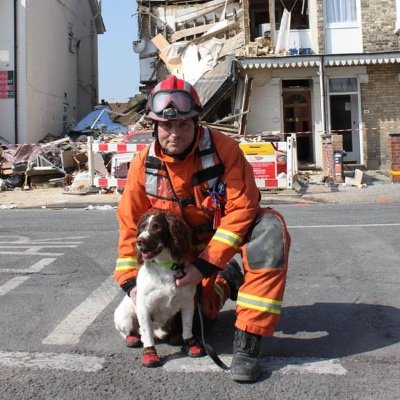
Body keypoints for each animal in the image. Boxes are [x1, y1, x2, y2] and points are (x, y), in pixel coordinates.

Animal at [114, 211, 205, 368]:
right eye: (142, 227)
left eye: (157, 227)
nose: (139, 241)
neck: (165, 267)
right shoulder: (144, 308)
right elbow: (147, 334)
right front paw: (150, 354)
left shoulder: (187, 303)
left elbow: (187, 327)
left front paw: (191, 344)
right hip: (125, 318)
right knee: (130, 332)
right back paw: (133, 339)